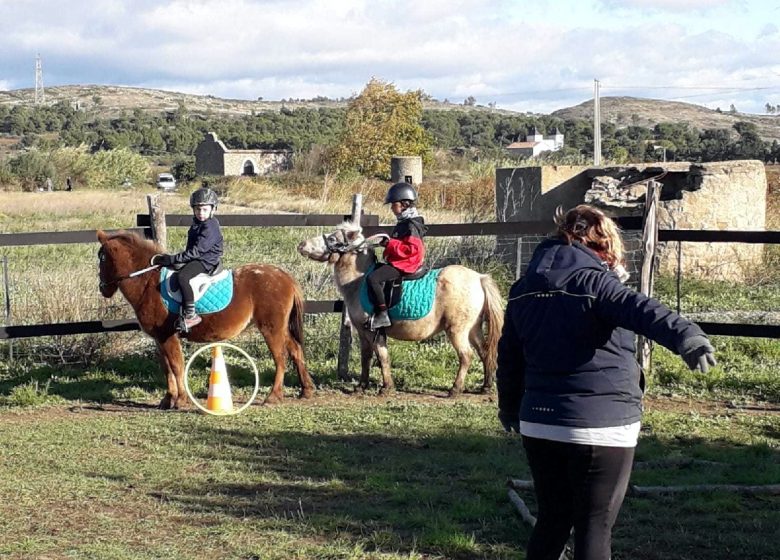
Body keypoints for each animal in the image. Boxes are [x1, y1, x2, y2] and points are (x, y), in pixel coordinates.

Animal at [96, 230, 314, 410]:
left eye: (102, 257)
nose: (103, 289)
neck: (148, 283)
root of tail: (284, 276)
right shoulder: (159, 339)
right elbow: (167, 368)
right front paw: (167, 400)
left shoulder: (168, 336)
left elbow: (177, 366)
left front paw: (181, 400)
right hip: (280, 327)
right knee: (295, 350)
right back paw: (306, 390)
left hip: (271, 328)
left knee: (280, 358)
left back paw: (273, 396)